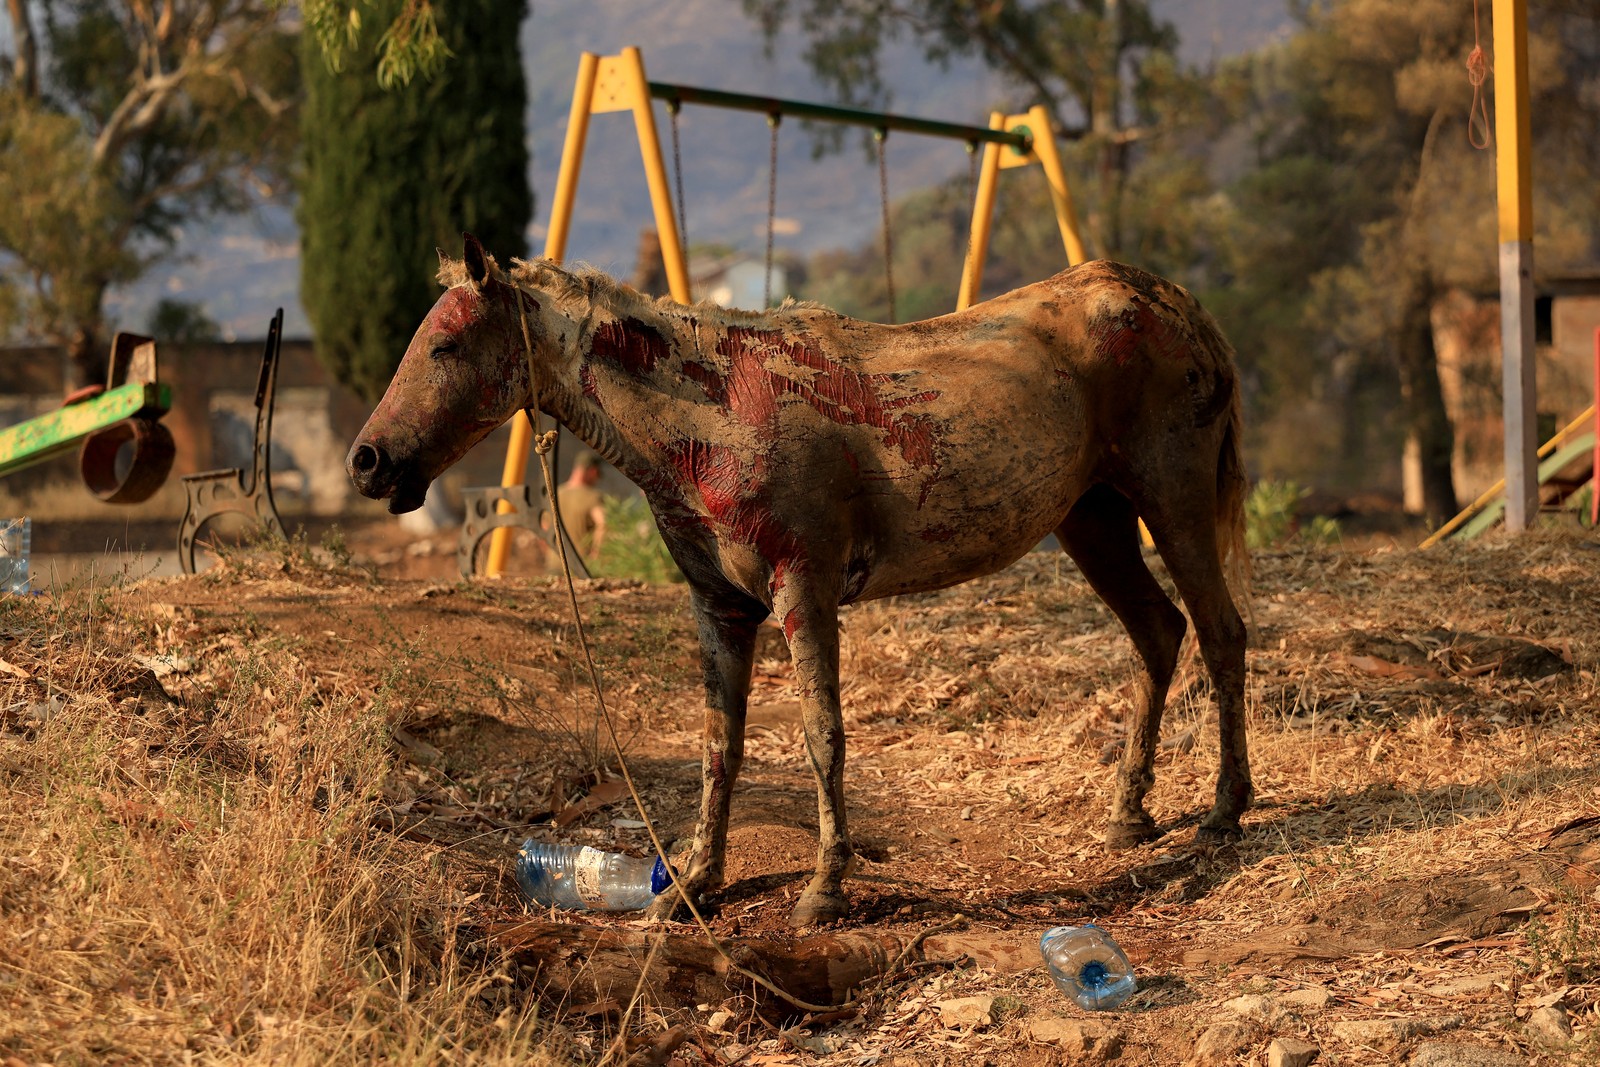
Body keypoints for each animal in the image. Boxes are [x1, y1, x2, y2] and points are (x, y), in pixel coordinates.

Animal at [349, 233, 1251, 928]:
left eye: (445, 346)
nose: (369, 460)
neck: (713, 412)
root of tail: (1175, 303)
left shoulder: (803, 591)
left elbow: (823, 736)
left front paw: (825, 886)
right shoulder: (721, 610)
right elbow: (720, 746)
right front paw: (692, 884)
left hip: (1170, 497)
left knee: (1220, 631)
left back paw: (1224, 809)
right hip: (1093, 520)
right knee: (1159, 632)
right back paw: (1130, 813)